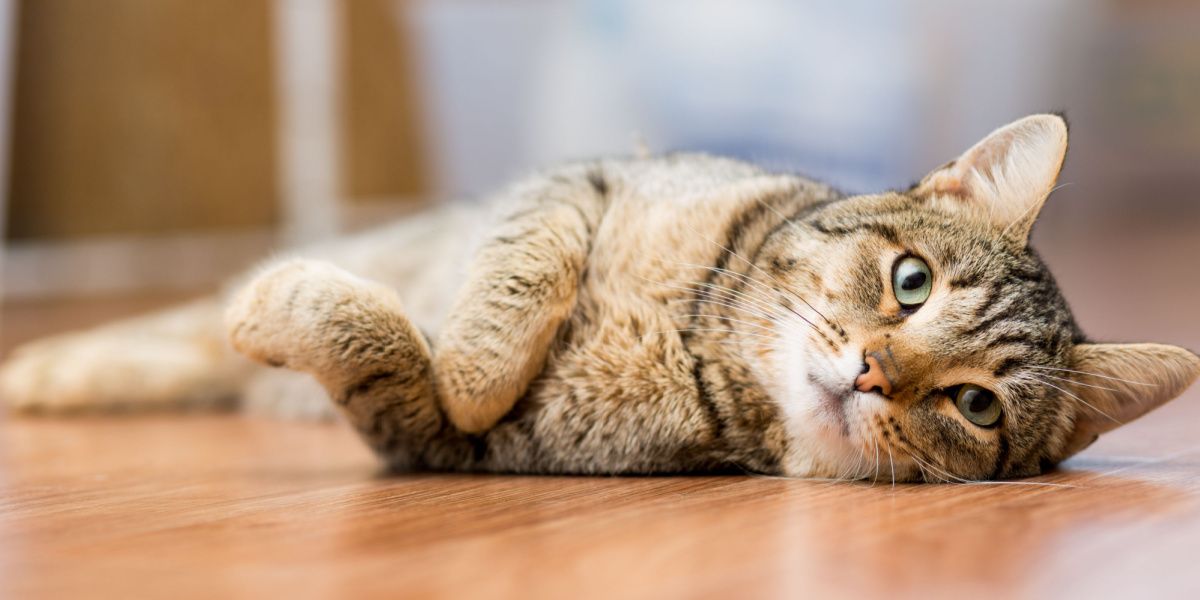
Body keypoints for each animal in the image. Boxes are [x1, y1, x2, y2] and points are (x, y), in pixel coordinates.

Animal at [2, 114, 1200, 480]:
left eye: (976, 407)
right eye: (910, 283)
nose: (870, 371)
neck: (704, 339)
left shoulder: (439, 442)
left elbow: (393, 354)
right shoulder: (577, 183)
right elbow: (516, 286)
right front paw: (477, 358)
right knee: (173, 332)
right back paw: (42, 371)